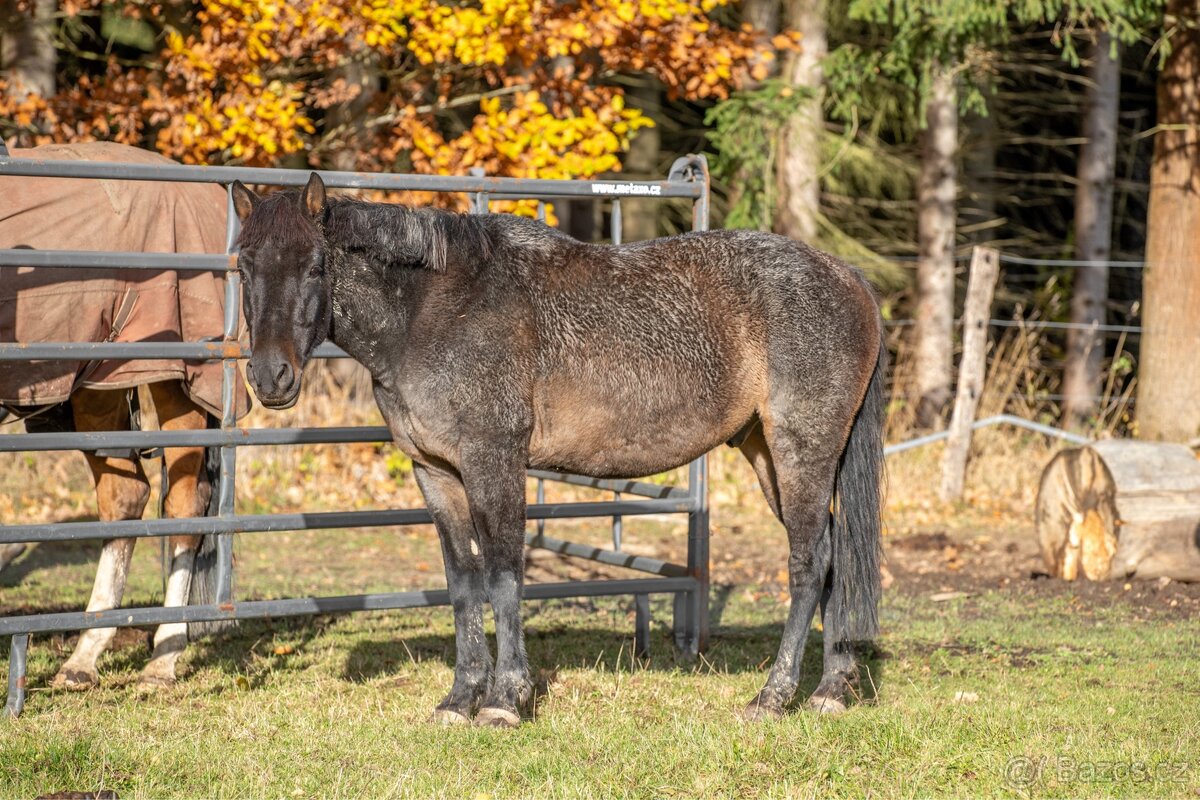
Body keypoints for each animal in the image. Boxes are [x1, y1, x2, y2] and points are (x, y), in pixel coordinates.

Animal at [0, 141, 247, 690]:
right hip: (101, 385)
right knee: (125, 496)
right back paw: (83, 657)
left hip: (174, 379)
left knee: (183, 504)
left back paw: (162, 658)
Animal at [230, 173, 885, 727]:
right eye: (243, 266)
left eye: (317, 265)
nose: (269, 377)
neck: (434, 309)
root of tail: (849, 276)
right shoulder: (435, 473)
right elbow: (462, 583)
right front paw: (460, 699)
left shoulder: (493, 462)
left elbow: (503, 575)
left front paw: (505, 700)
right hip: (766, 454)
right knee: (831, 557)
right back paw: (831, 689)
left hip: (801, 451)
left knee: (808, 563)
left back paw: (774, 697)